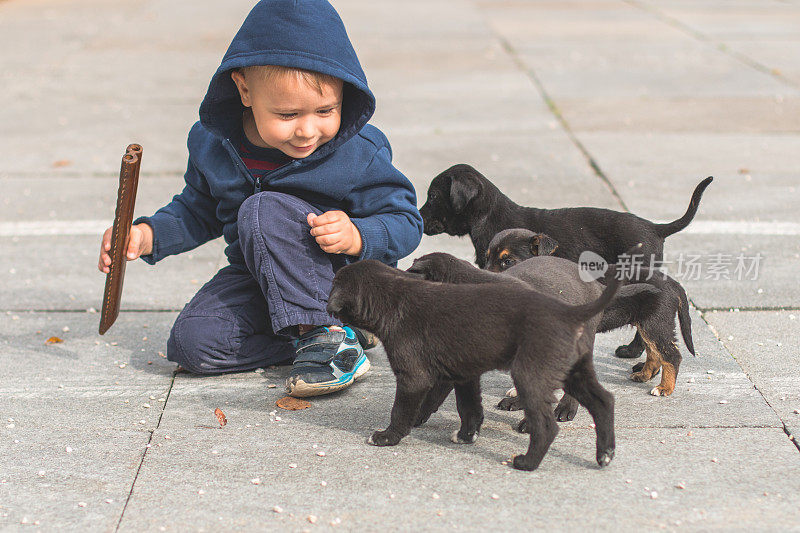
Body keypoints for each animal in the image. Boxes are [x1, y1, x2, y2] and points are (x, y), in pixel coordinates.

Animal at [324, 258, 624, 470]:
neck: (392, 298)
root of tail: (570, 312)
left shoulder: (413, 377)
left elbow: (402, 411)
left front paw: (387, 437)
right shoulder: (464, 374)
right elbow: (469, 407)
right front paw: (468, 435)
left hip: (530, 374)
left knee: (547, 425)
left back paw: (527, 462)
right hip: (573, 371)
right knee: (604, 401)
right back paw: (605, 454)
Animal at [484, 227, 696, 396]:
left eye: (508, 261)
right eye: (486, 258)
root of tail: (673, 283)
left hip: (656, 323)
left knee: (671, 355)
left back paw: (664, 388)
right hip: (647, 322)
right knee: (654, 352)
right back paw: (644, 375)